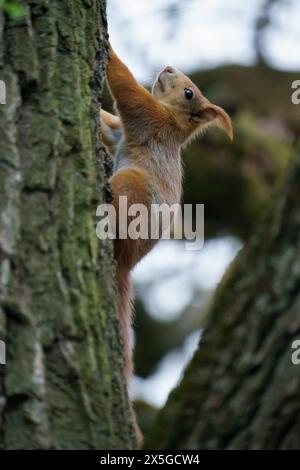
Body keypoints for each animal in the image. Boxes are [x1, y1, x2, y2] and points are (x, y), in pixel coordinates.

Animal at [101, 43, 232, 382]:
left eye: (189, 93)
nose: (168, 67)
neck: (173, 120)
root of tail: (126, 264)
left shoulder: (148, 117)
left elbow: (126, 87)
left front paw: (109, 49)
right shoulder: (119, 132)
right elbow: (107, 124)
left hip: (132, 189)